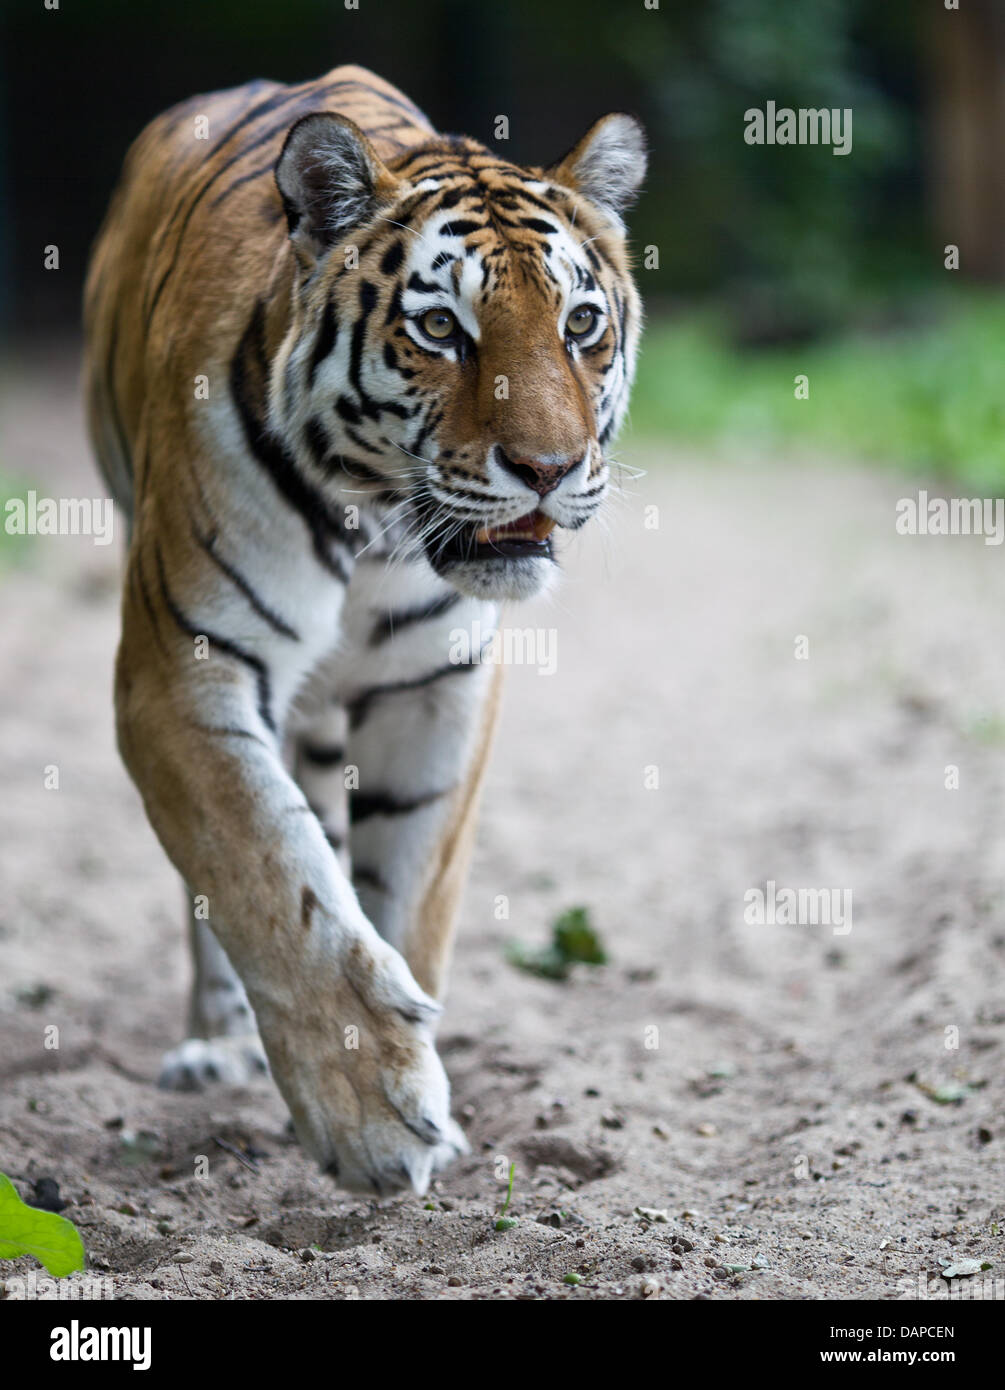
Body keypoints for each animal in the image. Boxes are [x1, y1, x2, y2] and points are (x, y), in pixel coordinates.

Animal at [82, 62, 647, 1195]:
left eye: (580, 324)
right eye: (441, 331)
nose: (550, 469)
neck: (378, 530)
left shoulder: (438, 688)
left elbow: (405, 894)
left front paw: (427, 1099)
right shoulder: (181, 670)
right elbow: (267, 870)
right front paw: (375, 1114)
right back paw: (214, 1047)